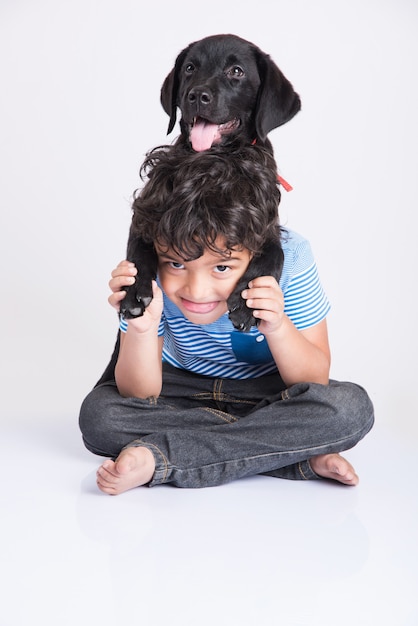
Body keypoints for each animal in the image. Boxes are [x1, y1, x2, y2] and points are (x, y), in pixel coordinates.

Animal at [120, 31, 300, 332]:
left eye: (236, 71)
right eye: (190, 68)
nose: (196, 95)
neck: (216, 161)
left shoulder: (266, 226)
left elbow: (276, 253)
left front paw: (247, 303)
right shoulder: (148, 214)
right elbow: (137, 249)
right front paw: (133, 289)